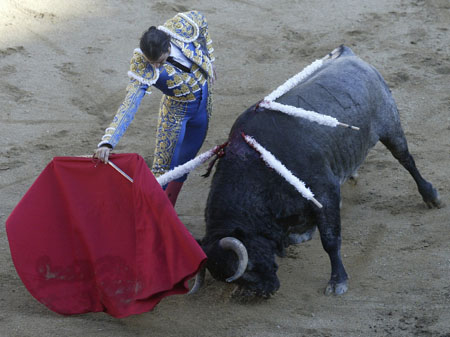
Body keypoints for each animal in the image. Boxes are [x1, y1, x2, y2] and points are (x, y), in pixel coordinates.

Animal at [194, 44, 440, 296]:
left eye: (250, 266)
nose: (264, 292)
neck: (256, 166)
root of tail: (350, 55)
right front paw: (301, 233)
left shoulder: (324, 192)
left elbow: (330, 240)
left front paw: (337, 281)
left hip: (391, 126)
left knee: (406, 159)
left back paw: (430, 196)